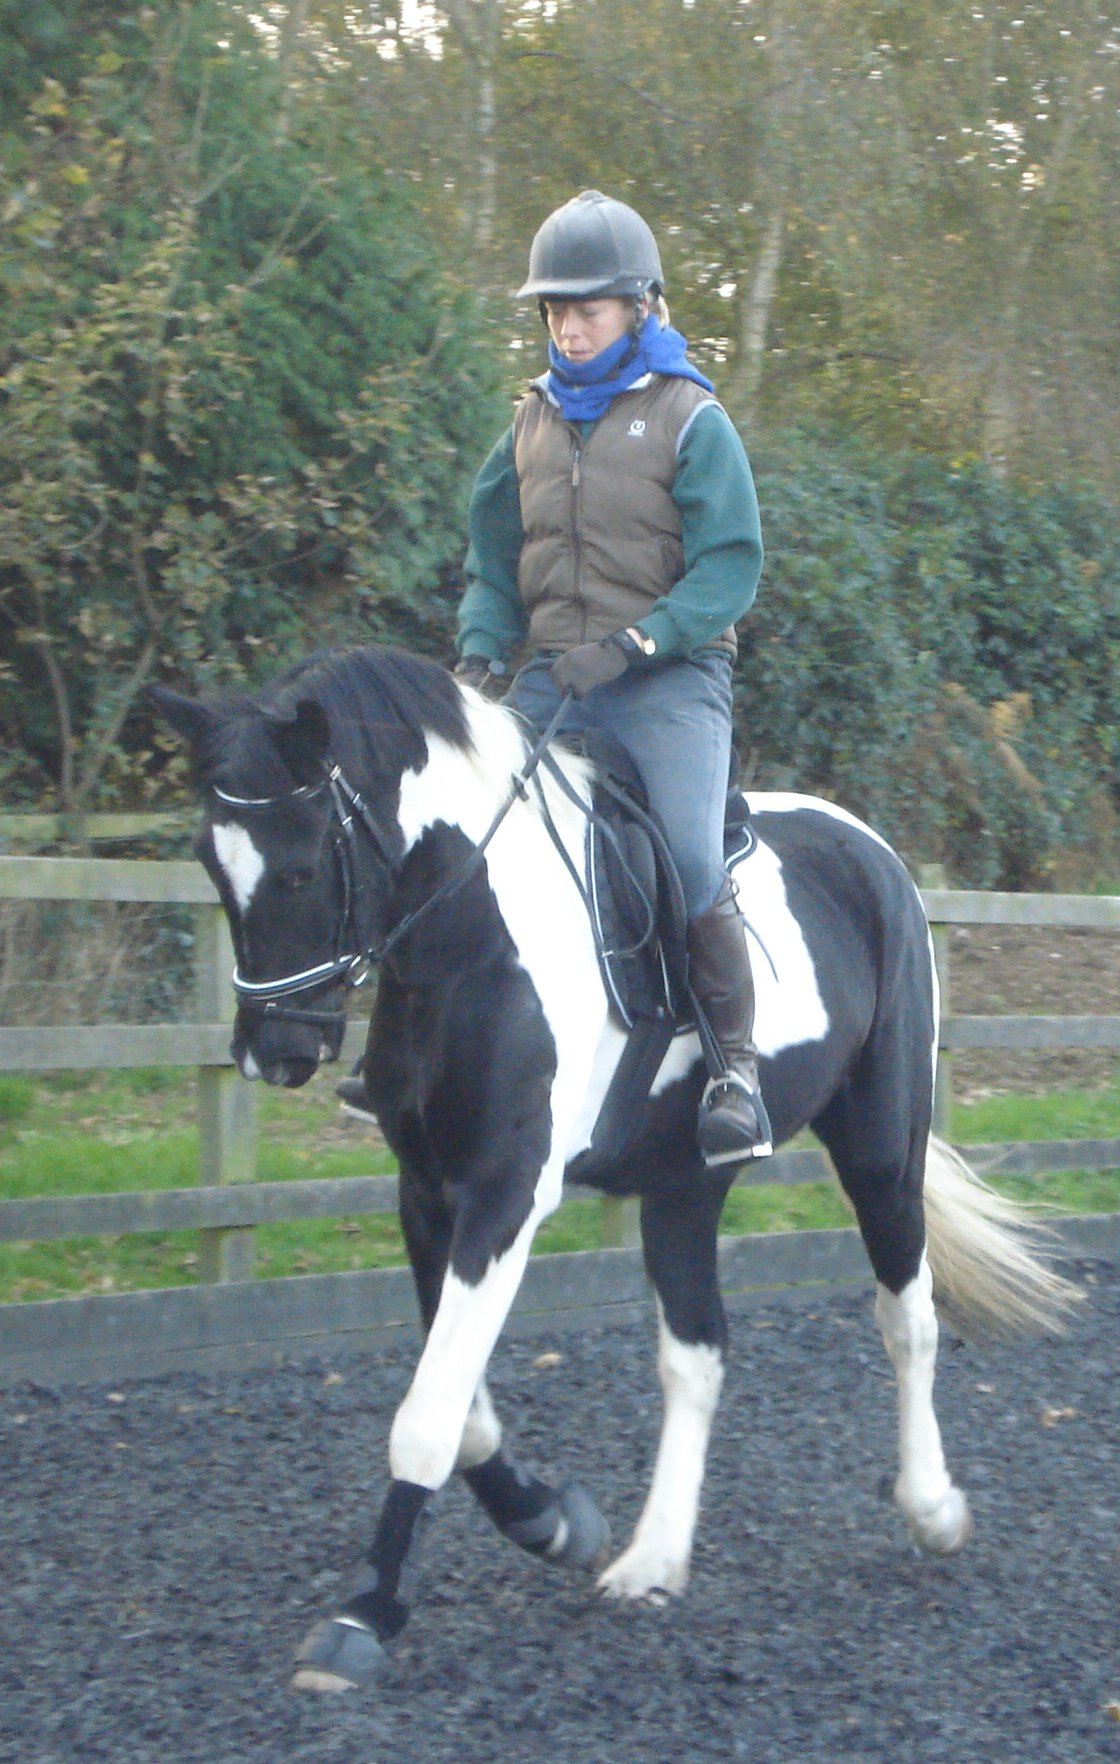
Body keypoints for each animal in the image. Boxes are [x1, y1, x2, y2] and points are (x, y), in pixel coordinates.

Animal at [152, 644, 1075, 1693]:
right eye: (209, 863)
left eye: (305, 866)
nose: (274, 1052)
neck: (476, 938)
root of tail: (869, 849)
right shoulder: (427, 1192)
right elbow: (464, 1411)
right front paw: (554, 1523)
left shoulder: (506, 1195)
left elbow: (429, 1414)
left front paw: (362, 1616)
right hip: (685, 1184)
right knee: (697, 1354)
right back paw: (653, 1558)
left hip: (882, 1148)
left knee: (907, 1320)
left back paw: (933, 1509)